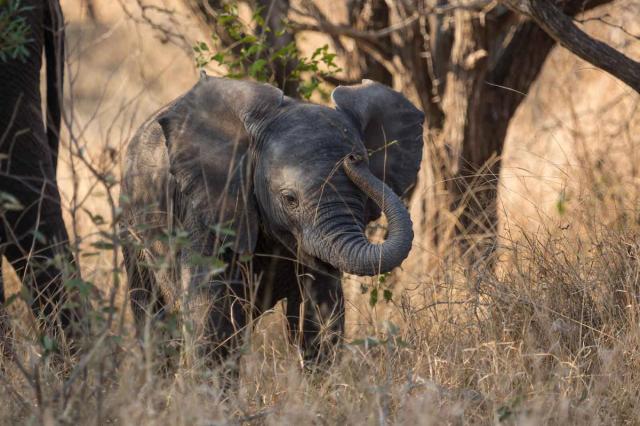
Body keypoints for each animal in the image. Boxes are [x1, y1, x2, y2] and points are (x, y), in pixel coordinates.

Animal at [120, 75, 422, 372]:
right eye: (290, 199)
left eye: (361, 196)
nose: (353, 158)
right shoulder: (208, 206)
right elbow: (209, 310)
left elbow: (321, 309)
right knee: (151, 313)